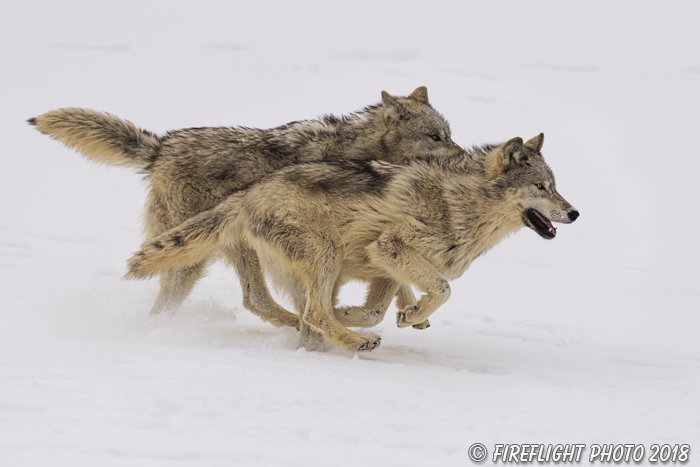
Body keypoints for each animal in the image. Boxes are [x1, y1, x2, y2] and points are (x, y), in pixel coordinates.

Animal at [28, 87, 460, 326]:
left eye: (449, 134)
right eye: (434, 137)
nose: (460, 157)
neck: (358, 150)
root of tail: (160, 147)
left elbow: (398, 278)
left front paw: (411, 311)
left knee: (248, 300)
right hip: (212, 253)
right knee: (252, 300)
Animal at [124, 133, 580, 352]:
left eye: (555, 187)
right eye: (542, 187)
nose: (575, 213)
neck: (463, 204)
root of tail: (248, 193)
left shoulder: (384, 263)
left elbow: (377, 309)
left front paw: (392, 314)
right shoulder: (392, 246)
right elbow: (444, 289)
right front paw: (407, 314)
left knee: (306, 313)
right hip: (325, 253)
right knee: (311, 311)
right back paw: (356, 342)